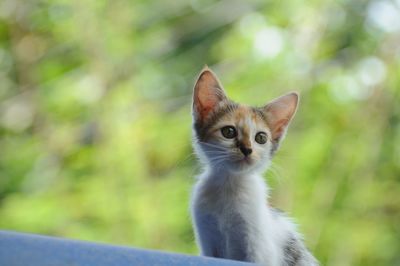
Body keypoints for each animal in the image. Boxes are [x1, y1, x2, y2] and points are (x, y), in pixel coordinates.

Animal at [190, 67, 318, 266]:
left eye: (261, 138)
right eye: (229, 132)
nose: (247, 149)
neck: (230, 186)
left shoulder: (258, 252)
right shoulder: (209, 245)